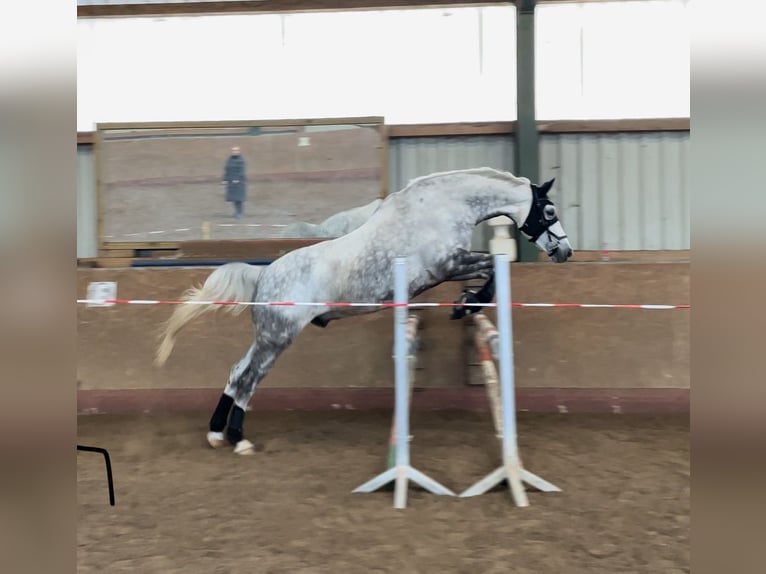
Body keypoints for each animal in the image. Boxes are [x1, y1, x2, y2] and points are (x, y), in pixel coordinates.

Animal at [156, 169, 572, 456]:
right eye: (549, 210)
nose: (564, 252)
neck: (443, 207)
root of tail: (264, 275)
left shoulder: (450, 266)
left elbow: (489, 267)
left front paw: (466, 302)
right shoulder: (447, 265)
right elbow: (490, 267)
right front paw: (467, 304)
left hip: (265, 336)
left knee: (235, 372)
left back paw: (215, 434)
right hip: (278, 338)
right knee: (248, 379)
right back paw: (239, 440)